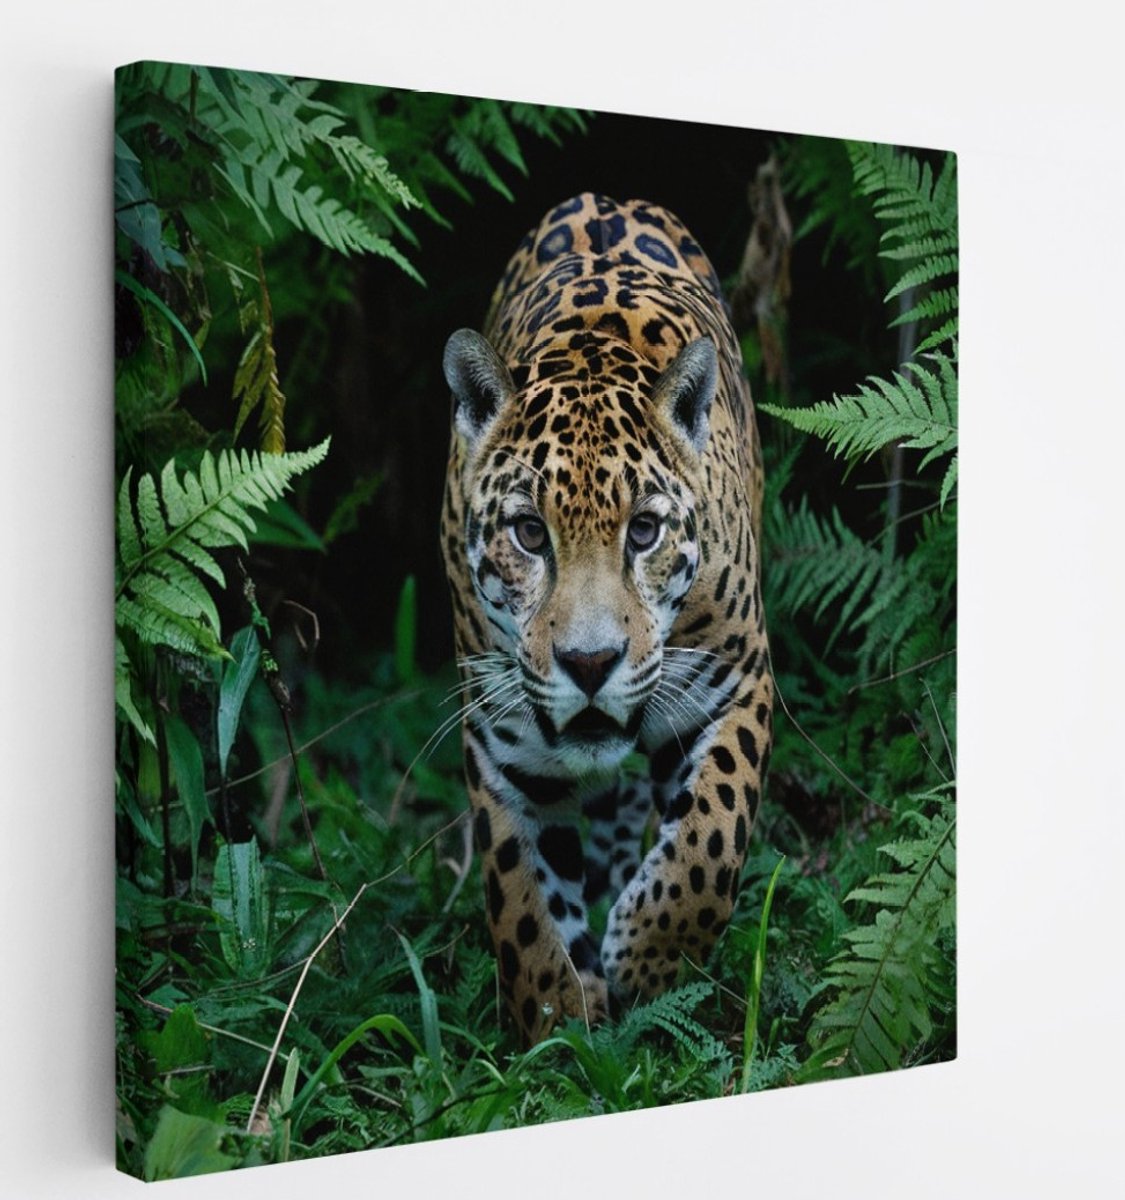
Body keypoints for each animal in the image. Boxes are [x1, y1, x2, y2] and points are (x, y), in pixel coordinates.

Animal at [440, 192, 773, 1045]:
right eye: (529, 533)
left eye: (644, 531)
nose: (590, 665)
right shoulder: (503, 736)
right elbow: (520, 900)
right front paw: (556, 1027)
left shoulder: (734, 681)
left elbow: (712, 835)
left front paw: (650, 959)